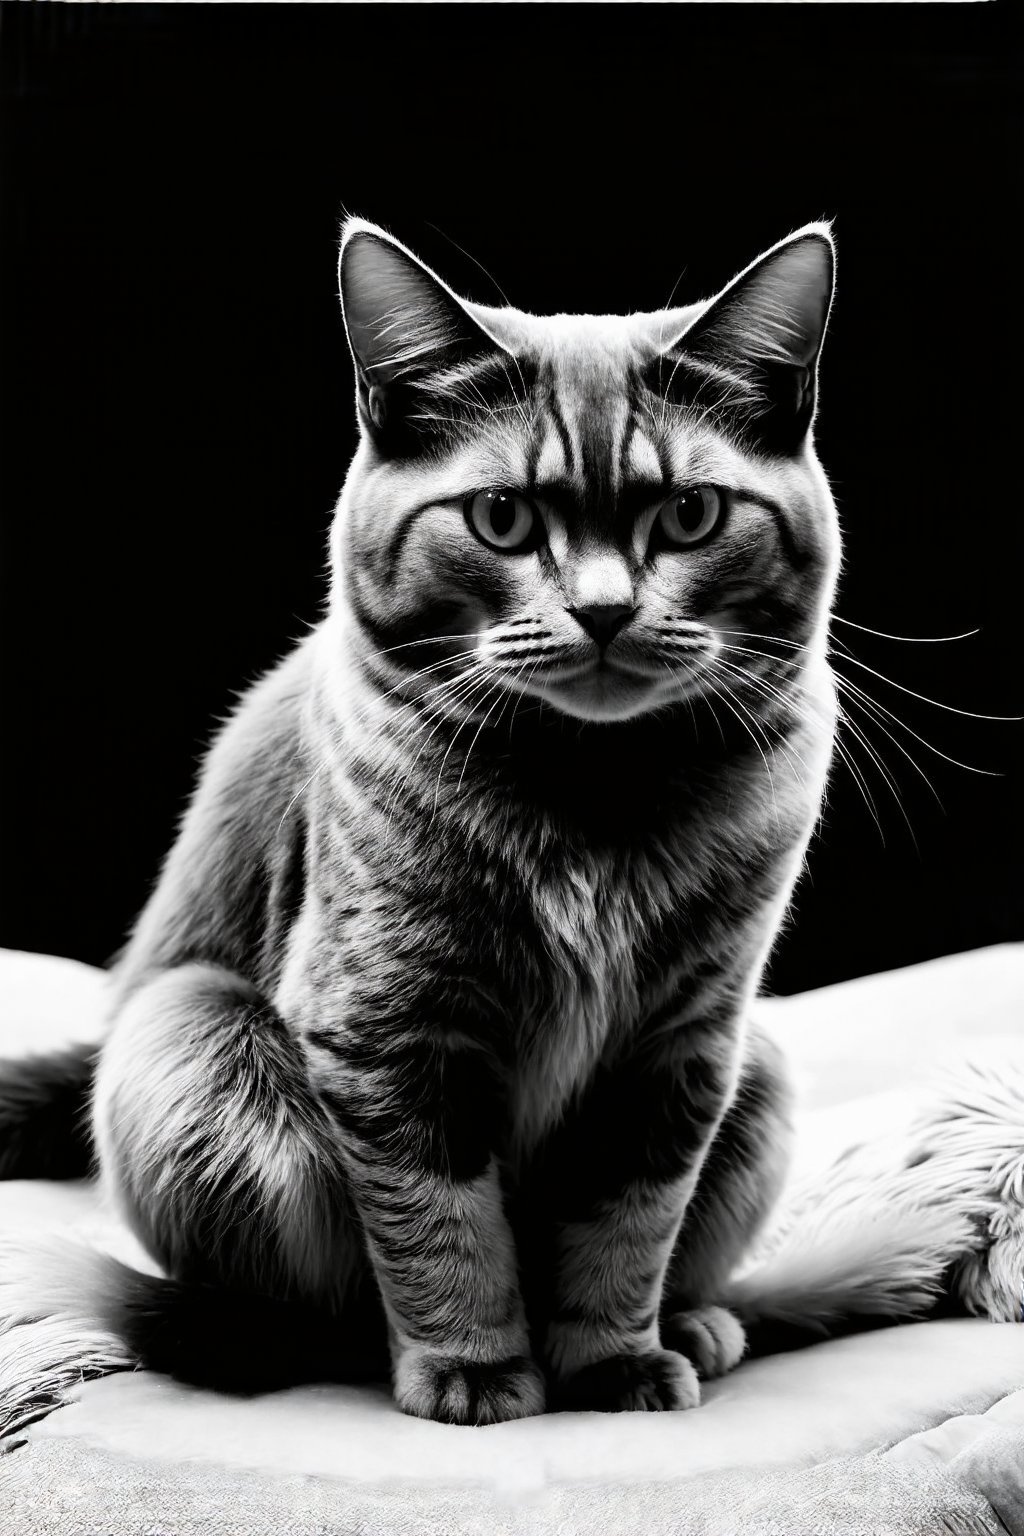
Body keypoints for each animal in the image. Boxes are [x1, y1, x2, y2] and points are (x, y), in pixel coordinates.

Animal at [4, 210, 847, 1419]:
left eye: (689, 514)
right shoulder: (388, 1028)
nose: (603, 611)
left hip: (762, 1070)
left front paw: (615, 1360)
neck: (590, 800)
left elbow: (627, 1224)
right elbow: (439, 1222)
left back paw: (697, 1322)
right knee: (297, 1309)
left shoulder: (681, 1043)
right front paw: (474, 1367)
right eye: (501, 517)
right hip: (195, 1036)